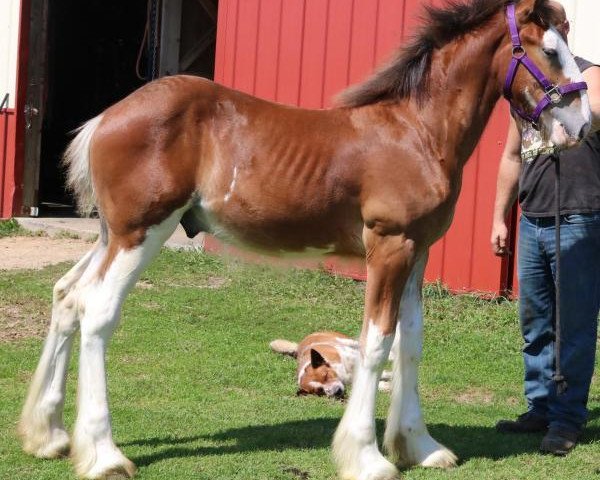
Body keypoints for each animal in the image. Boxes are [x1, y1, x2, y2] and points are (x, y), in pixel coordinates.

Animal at [19, 0, 592, 480]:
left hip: (110, 235)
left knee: (66, 298)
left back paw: (49, 436)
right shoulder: (389, 247)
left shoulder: (417, 251)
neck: (416, 131)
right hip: (142, 232)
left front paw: (420, 446)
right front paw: (368, 458)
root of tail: (107, 118)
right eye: (550, 49)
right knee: (97, 312)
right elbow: (378, 342)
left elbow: (410, 344)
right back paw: (104, 455)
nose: (583, 123)